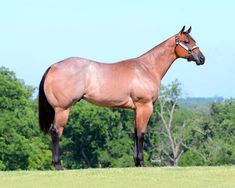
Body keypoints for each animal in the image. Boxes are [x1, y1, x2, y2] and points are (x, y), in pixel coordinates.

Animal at [38, 25, 204, 170]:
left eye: (193, 40)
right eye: (187, 41)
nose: (202, 58)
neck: (147, 68)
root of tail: (53, 66)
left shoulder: (136, 109)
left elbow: (136, 132)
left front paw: (137, 163)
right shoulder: (145, 106)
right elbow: (141, 133)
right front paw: (141, 163)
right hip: (62, 109)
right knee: (56, 132)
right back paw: (58, 166)